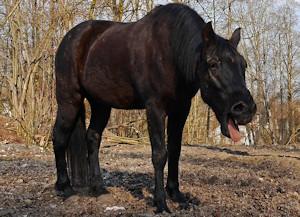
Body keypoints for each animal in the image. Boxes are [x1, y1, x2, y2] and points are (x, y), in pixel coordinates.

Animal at [51, 3, 255, 213]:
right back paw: (65, 188)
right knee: (60, 137)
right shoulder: (155, 108)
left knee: (93, 138)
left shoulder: (180, 110)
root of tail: (71, 37)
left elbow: (175, 151)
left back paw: (99, 188)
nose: (245, 109)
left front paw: (176, 194)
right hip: (69, 100)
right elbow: (159, 154)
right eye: (213, 64)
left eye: (244, 65)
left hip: (100, 104)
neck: (171, 52)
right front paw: (161, 202)